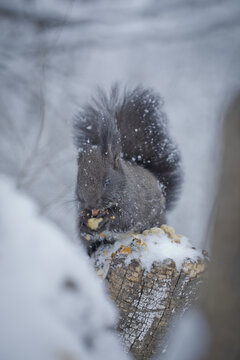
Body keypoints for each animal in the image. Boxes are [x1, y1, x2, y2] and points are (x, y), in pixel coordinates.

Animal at [72, 84, 182, 255]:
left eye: (107, 182)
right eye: (78, 181)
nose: (91, 206)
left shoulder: (133, 203)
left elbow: (124, 219)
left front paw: (106, 220)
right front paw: (83, 224)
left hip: (155, 218)